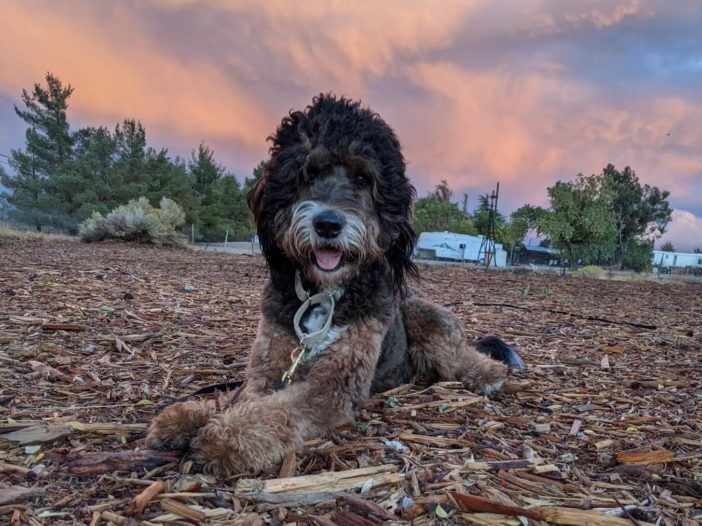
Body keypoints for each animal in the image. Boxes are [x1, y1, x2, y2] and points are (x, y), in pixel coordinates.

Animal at [147, 95, 524, 478]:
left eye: (362, 177)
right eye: (307, 173)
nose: (327, 224)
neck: (323, 292)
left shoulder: (334, 384)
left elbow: (279, 410)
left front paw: (225, 438)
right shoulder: (269, 367)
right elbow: (242, 395)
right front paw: (190, 416)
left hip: (426, 319)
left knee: (464, 356)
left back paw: (489, 373)